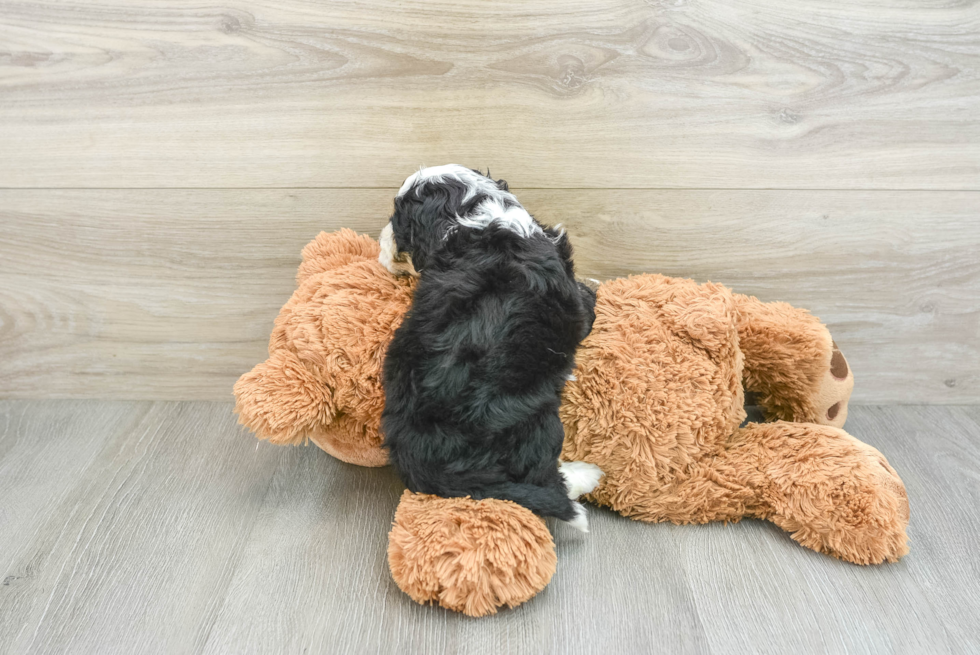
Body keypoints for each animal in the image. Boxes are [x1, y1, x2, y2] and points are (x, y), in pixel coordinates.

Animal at [378, 164, 600, 532]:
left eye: (396, 221)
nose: (379, 242)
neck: (470, 214)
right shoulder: (578, 304)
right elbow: (589, 300)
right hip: (538, 420)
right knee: (542, 476)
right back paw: (587, 474)